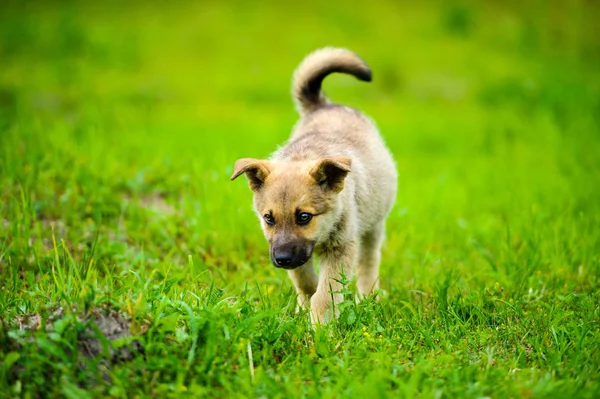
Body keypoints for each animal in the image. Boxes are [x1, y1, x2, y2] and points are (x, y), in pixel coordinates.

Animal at [232, 47, 396, 324]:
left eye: (304, 217)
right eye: (268, 218)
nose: (282, 259)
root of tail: (325, 105)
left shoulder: (341, 247)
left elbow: (326, 293)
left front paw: (320, 326)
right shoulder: (296, 255)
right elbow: (306, 282)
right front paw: (303, 308)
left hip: (374, 224)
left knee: (369, 262)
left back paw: (368, 298)